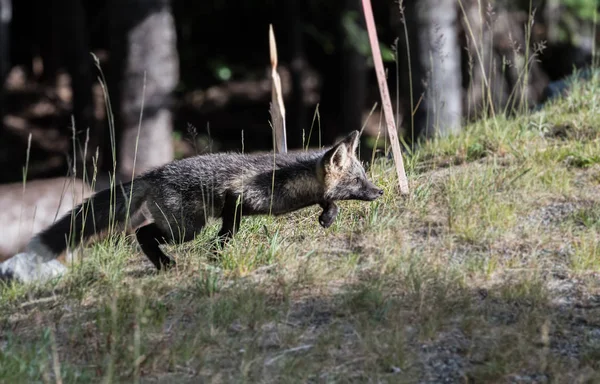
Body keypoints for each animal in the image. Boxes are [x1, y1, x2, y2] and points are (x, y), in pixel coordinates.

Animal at [9, 130, 382, 276]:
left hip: (182, 227)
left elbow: (327, 202)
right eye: (359, 181)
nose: (379, 192)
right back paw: (164, 264)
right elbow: (229, 230)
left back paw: (162, 265)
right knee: (142, 233)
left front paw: (328, 217)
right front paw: (219, 253)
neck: (286, 178)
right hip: (186, 229)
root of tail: (155, 172)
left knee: (144, 233)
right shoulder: (238, 197)